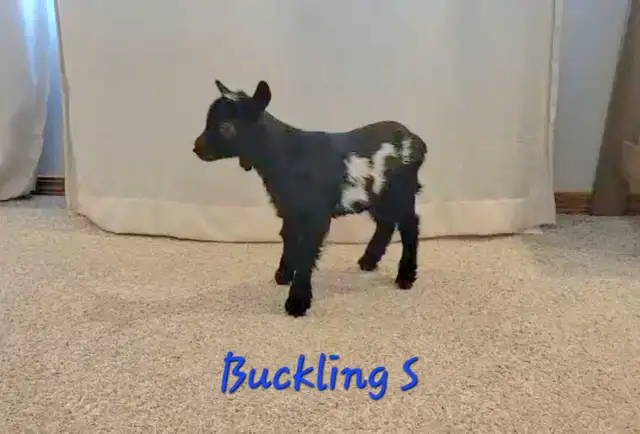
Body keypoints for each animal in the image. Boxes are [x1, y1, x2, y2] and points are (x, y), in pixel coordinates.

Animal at [193, 80, 428, 317]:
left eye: (226, 128)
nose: (196, 148)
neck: (286, 155)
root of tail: (415, 140)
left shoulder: (314, 214)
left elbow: (306, 251)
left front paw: (297, 303)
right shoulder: (289, 209)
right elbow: (288, 238)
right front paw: (284, 275)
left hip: (401, 192)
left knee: (410, 225)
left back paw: (405, 277)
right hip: (378, 195)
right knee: (386, 224)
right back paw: (369, 261)